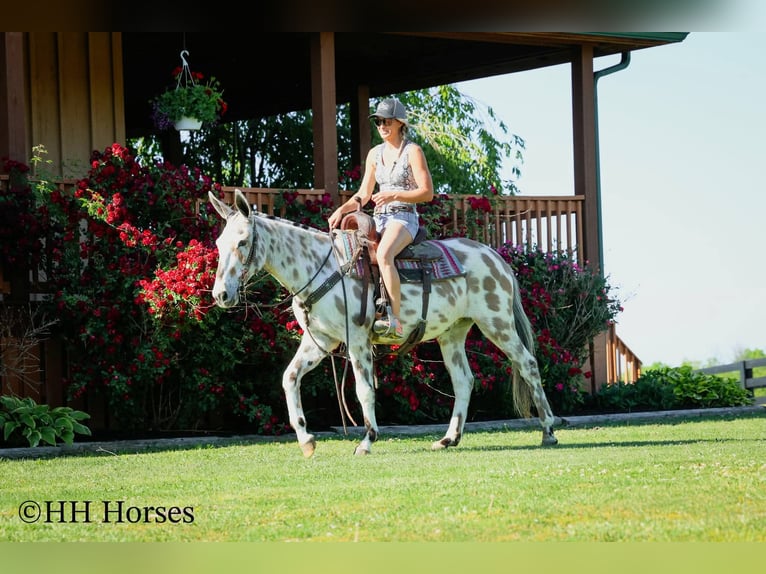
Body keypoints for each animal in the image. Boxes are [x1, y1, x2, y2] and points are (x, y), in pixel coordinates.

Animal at [209, 189, 558, 457]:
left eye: (243, 242)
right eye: (218, 244)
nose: (221, 294)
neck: (322, 268)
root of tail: (495, 257)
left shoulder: (357, 340)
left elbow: (364, 390)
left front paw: (366, 441)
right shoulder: (320, 341)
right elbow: (289, 378)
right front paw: (306, 440)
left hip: (497, 323)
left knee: (528, 364)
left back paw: (549, 431)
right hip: (453, 333)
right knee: (464, 380)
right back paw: (449, 439)